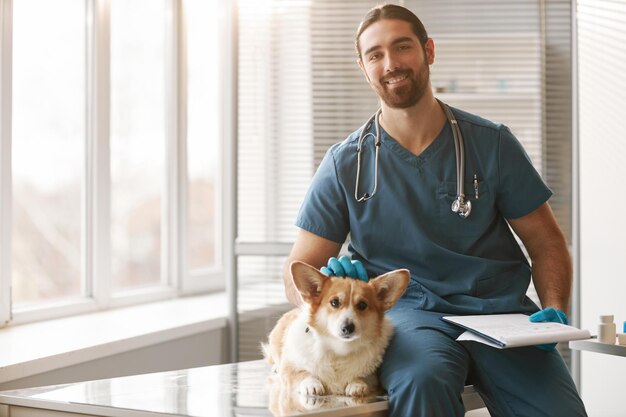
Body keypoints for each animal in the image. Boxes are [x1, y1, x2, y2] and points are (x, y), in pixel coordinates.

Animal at [260, 260, 408, 400]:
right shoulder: (290, 367)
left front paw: (357, 384)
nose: (347, 328)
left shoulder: (373, 376)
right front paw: (312, 384)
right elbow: (302, 374)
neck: (338, 350)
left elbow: (364, 377)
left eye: (362, 305)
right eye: (334, 302)